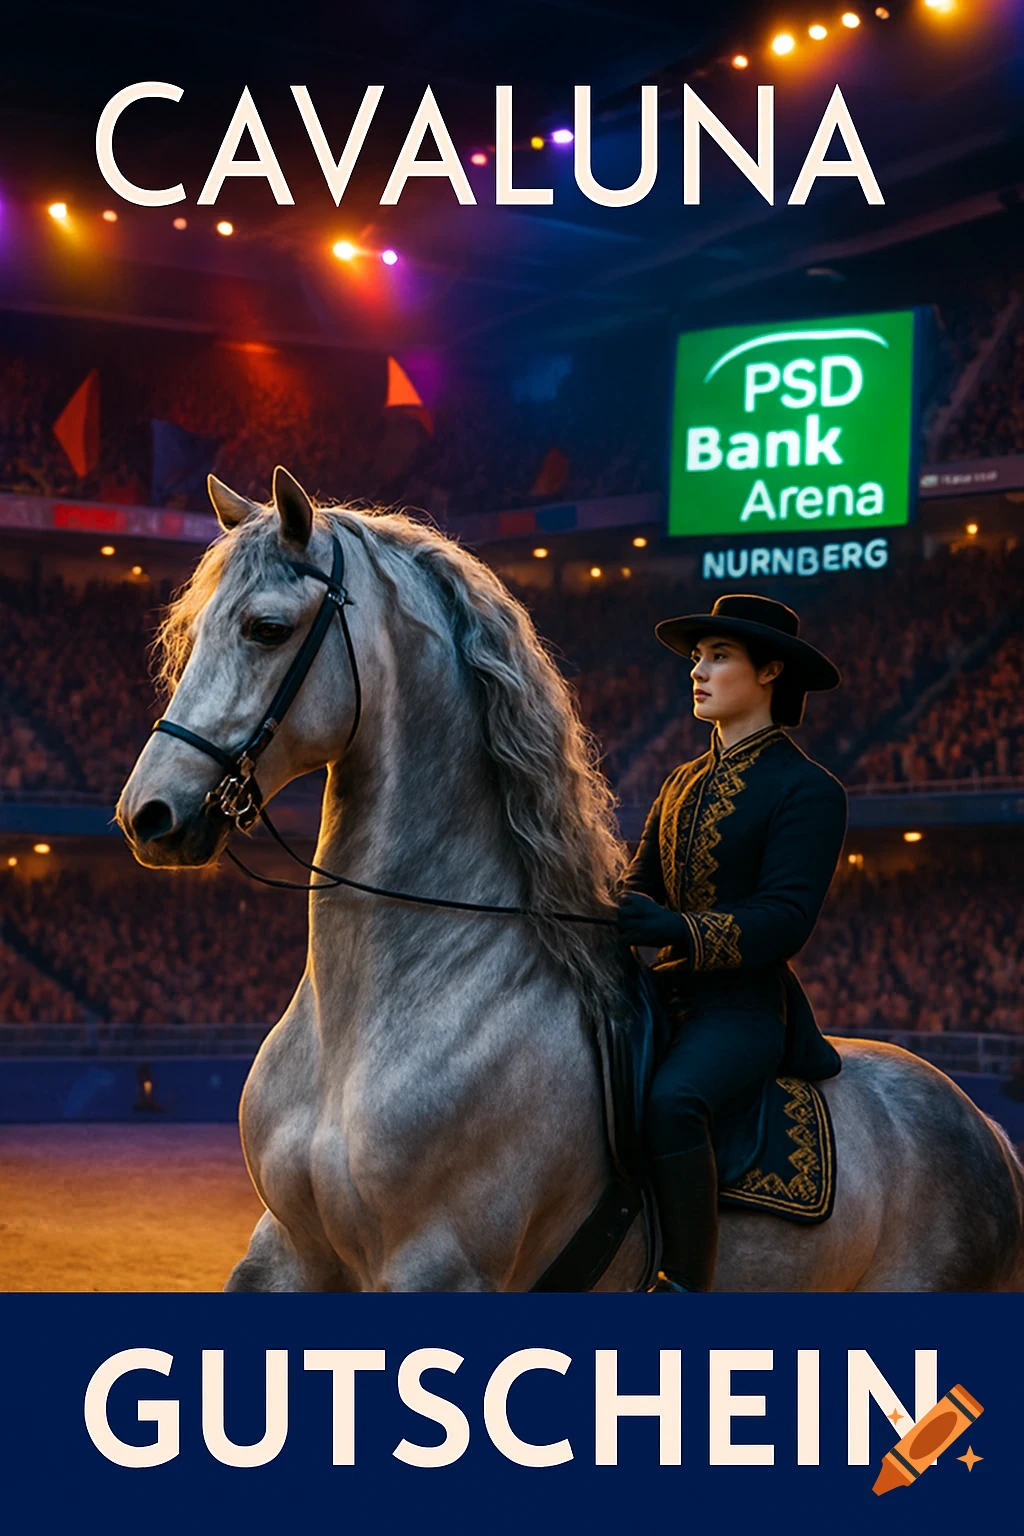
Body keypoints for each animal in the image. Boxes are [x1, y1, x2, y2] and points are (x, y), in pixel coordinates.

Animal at [116, 467, 1024, 1292]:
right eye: (192, 633)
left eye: (267, 628)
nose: (147, 815)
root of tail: (989, 1130)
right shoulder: (287, 1253)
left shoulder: (439, 1267)